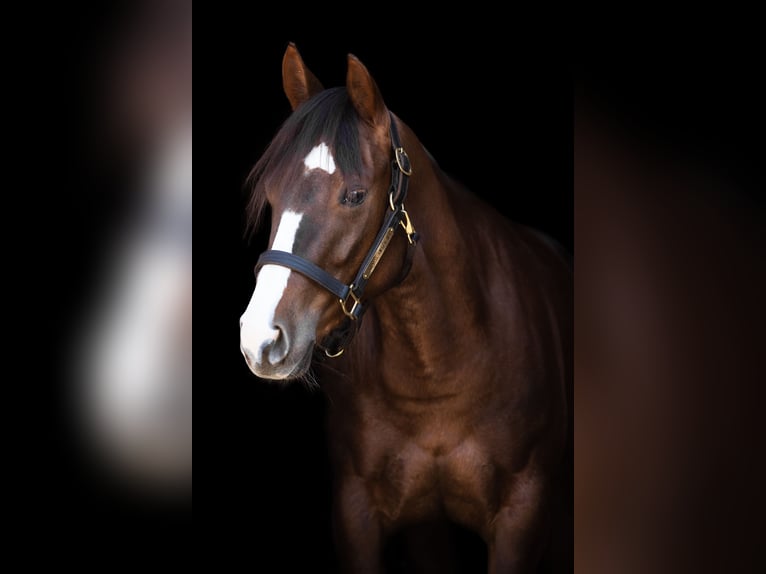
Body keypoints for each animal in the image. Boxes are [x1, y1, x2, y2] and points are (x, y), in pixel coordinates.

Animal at [240, 43, 572, 573]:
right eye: (271, 195)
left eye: (355, 195)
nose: (260, 339)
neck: (438, 376)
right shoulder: (358, 515)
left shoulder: (524, 517)